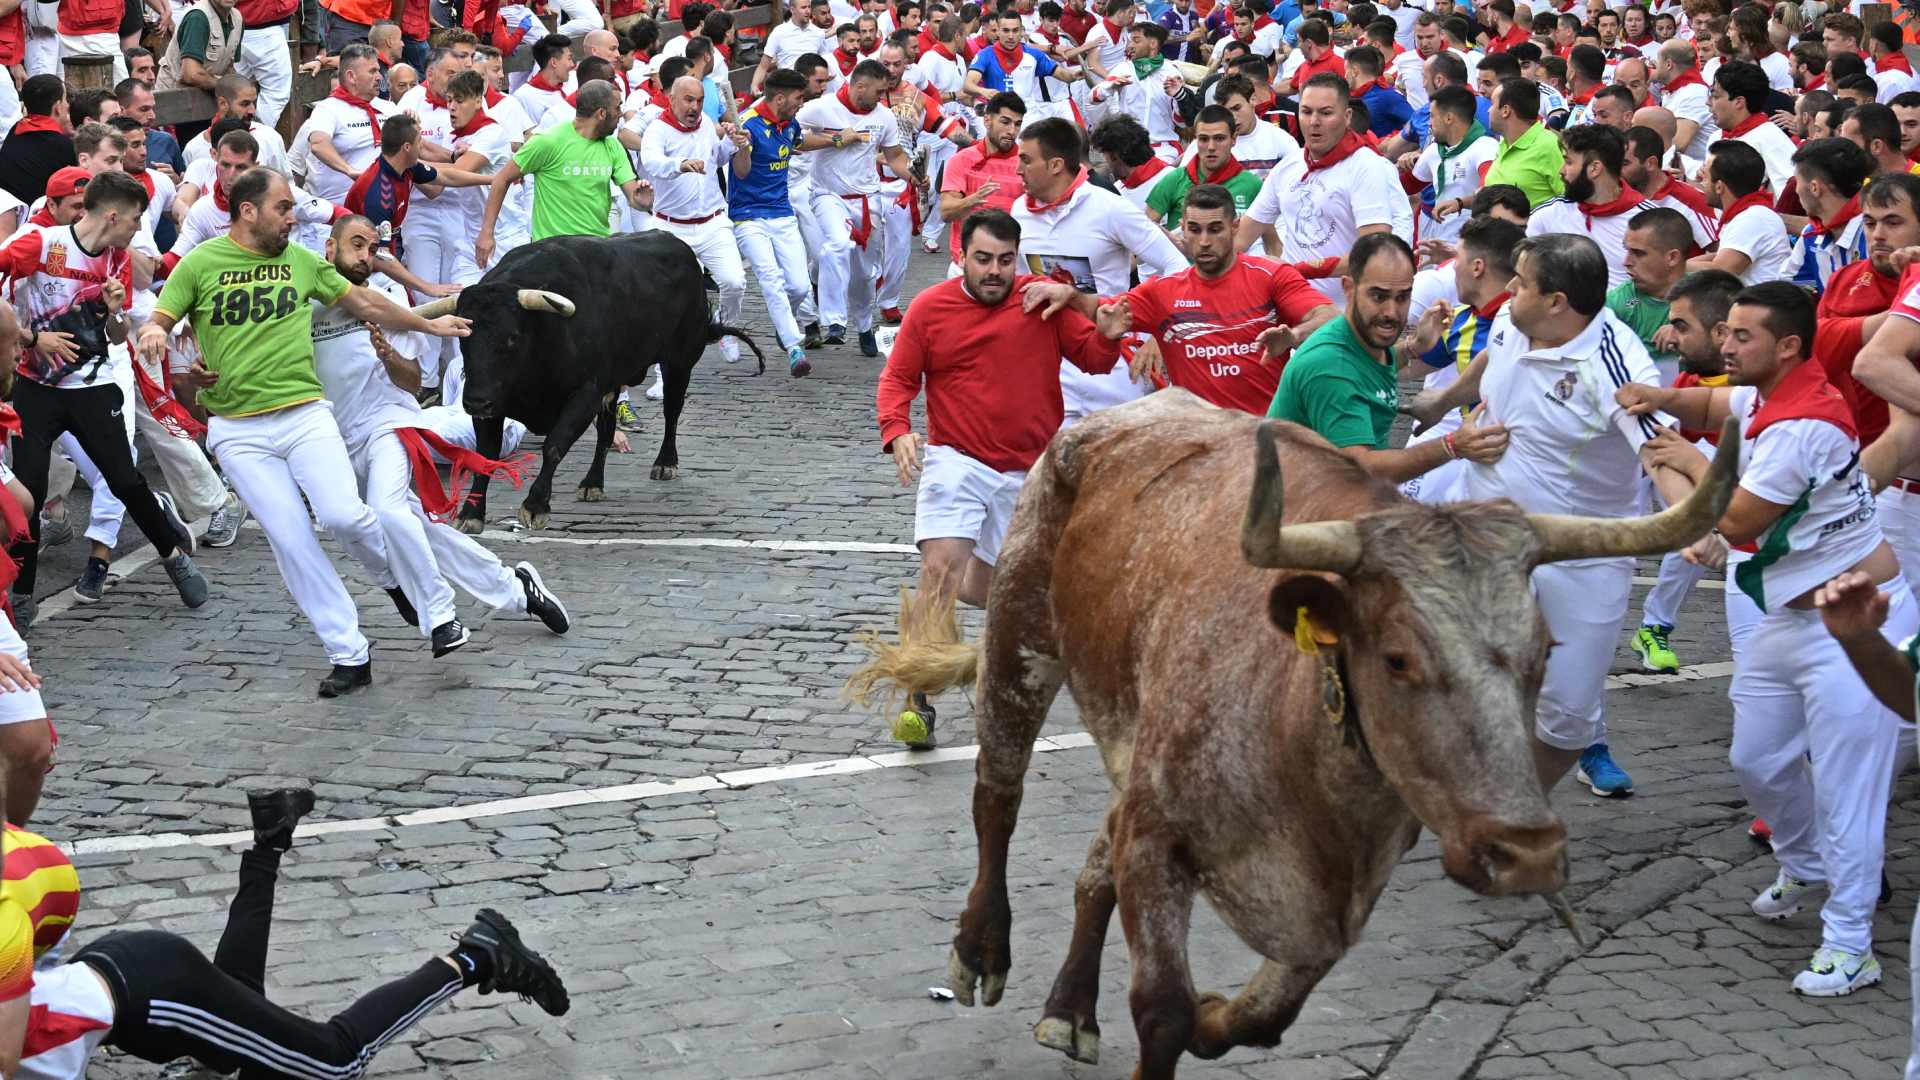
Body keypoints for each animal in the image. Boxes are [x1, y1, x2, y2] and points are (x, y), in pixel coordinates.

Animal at [428, 228, 764, 530]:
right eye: (462, 334)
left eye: (512, 337)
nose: (475, 401)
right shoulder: (494, 404)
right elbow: (485, 454)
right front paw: (471, 513)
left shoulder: (584, 394)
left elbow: (554, 446)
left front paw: (536, 506)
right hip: (614, 382)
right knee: (607, 429)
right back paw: (593, 482)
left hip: (679, 361)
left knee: (672, 411)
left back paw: (665, 462)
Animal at [848, 390, 1735, 1068]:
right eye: (1398, 658)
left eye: (1545, 650)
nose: (1528, 854)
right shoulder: (1159, 837)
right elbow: (1163, 1010)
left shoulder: (1339, 902)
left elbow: (1261, 1015)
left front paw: (1216, 1015)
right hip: (1022, 640)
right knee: (996, 796)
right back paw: (981, 950)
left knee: (1091, 862)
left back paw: (1070, 1010)